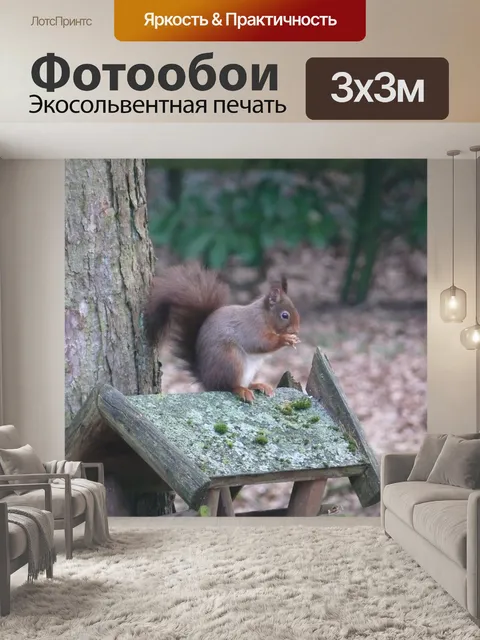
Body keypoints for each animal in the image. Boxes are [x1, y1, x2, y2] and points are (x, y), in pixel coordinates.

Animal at [144, 262, 301, 403]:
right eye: (285, 315)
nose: (297, 329)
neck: (264, 316)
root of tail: (207, 380)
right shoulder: (252, 328)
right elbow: (262, 343)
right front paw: (285, 339)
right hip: (230, 359)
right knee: (227, 386)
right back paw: (242, 390)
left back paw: (258, 385)